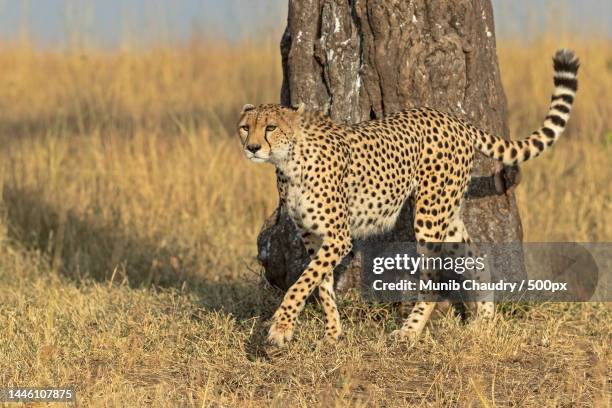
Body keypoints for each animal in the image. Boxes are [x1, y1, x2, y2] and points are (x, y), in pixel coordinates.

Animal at [238, 49, 580, 346]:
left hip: (429, 214)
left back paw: (410, 331)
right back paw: (484, 319)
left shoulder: (338, 236)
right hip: (447, 212)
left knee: (432, 275)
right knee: (477, 256)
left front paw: (281, 328)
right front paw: (332, 333)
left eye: (270, 127)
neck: (289, 160)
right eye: (244, 128)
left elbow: (302, 282)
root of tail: (452, 119)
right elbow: (320, 285)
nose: (251, 148)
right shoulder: (312, 236)